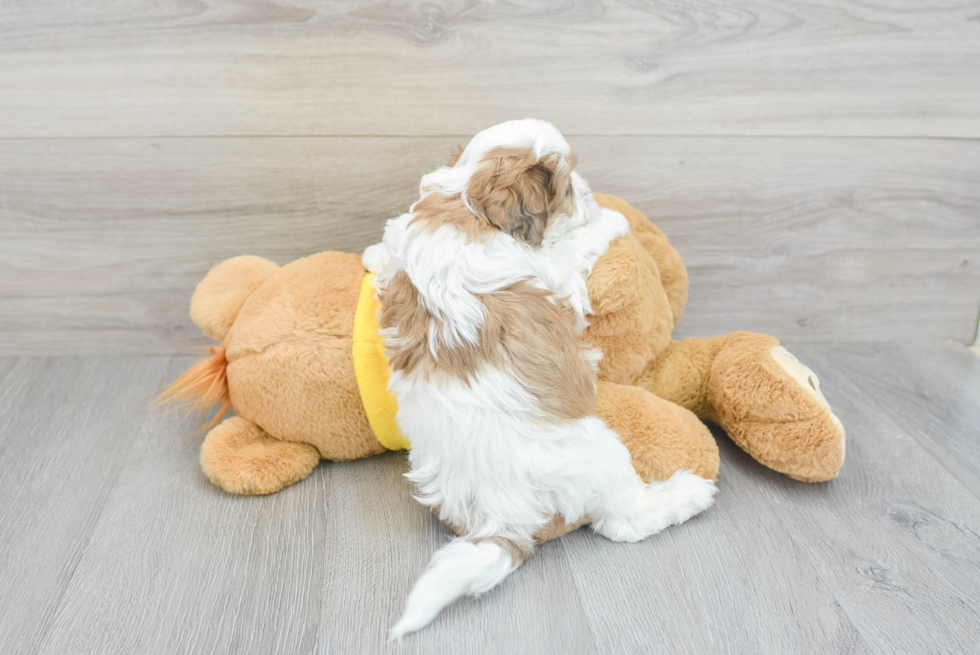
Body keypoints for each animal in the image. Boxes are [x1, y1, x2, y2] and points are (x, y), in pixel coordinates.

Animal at [364, 119, 716, 640]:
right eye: (568, 188)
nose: (590, 193)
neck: (465, 201)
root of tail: (501, 514)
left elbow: (389, 242)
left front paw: (373, 256)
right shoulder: (554, 273)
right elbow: (576, 247)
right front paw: (611, 219)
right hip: (600, 452)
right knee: (624, 521)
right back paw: (686, 494)